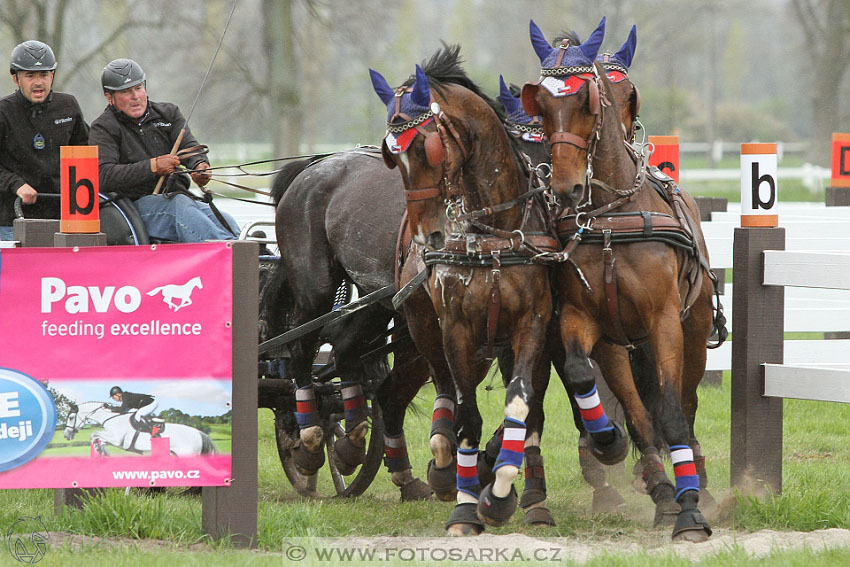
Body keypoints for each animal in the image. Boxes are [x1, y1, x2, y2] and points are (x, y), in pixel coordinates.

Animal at [65, 404, 217, 458]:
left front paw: (99, 449)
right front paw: (101, 450)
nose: (66, 435)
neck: (111, 418)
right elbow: (98, 437)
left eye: (71, 417)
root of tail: (200, 433)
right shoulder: (111, 438)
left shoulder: (117, 440)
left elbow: (94, 434)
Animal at [368, 46, 628, 536]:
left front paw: (503, 490)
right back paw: (444, 462)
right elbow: (467, 414)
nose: (428, 236)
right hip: (425, 327)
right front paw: (466, 504)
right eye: (393, 155)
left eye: (426, 146)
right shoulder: (456, 328)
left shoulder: (533, 325)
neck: (495, 230)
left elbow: (521, 403)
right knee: (442, 389)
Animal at [520, 16, 720, 540]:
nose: (566, 187)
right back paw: (660, 486)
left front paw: (691, 511)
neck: (611, 218)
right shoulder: (586, 320)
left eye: (589, 101)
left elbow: (670, 410)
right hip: (621, 347)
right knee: (637, 409)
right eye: (541, 103)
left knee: (685, 404)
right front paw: (609, 444)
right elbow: (585, 376)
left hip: (693, 331)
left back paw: (699, 485)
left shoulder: (664, 322)